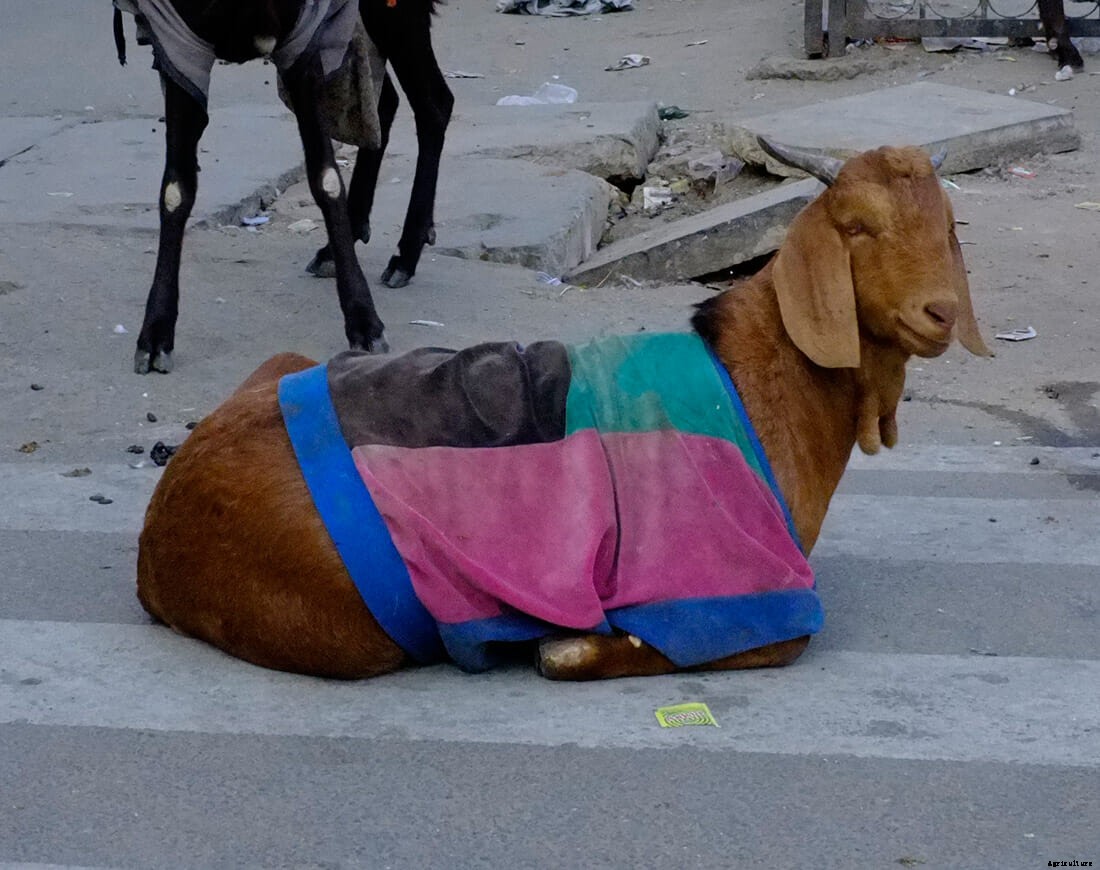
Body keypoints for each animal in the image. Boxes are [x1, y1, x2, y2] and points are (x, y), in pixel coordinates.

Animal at [113, 0, 452, 374]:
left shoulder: (304, 36)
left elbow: (326, 179)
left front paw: (364, 323)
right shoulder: (176, 37)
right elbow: (175, 190)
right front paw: (155, 333)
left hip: (394, 13)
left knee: (433, 103)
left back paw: (406, 254)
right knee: (384, 103)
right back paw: (341, 245)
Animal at [135, 140, 992, 681]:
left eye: (948, 226)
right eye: (857, 227)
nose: (940, 312)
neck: (751, 373)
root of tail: (158, 535)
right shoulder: (730, 586)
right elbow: (763, 641)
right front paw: (567, 647)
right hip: (347, 624)